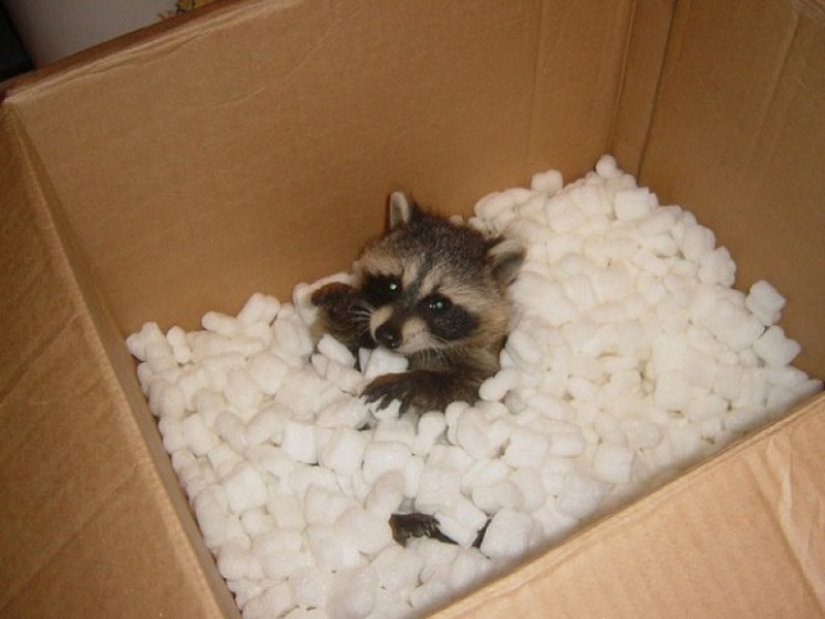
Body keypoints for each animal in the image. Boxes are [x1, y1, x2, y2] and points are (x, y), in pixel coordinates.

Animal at [312, 192, 524, 414]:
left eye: (438, 305)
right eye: (392, 286)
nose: (386, 335)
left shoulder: (485, 359)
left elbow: (472, 389)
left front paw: (416, 382)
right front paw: (346, 306)